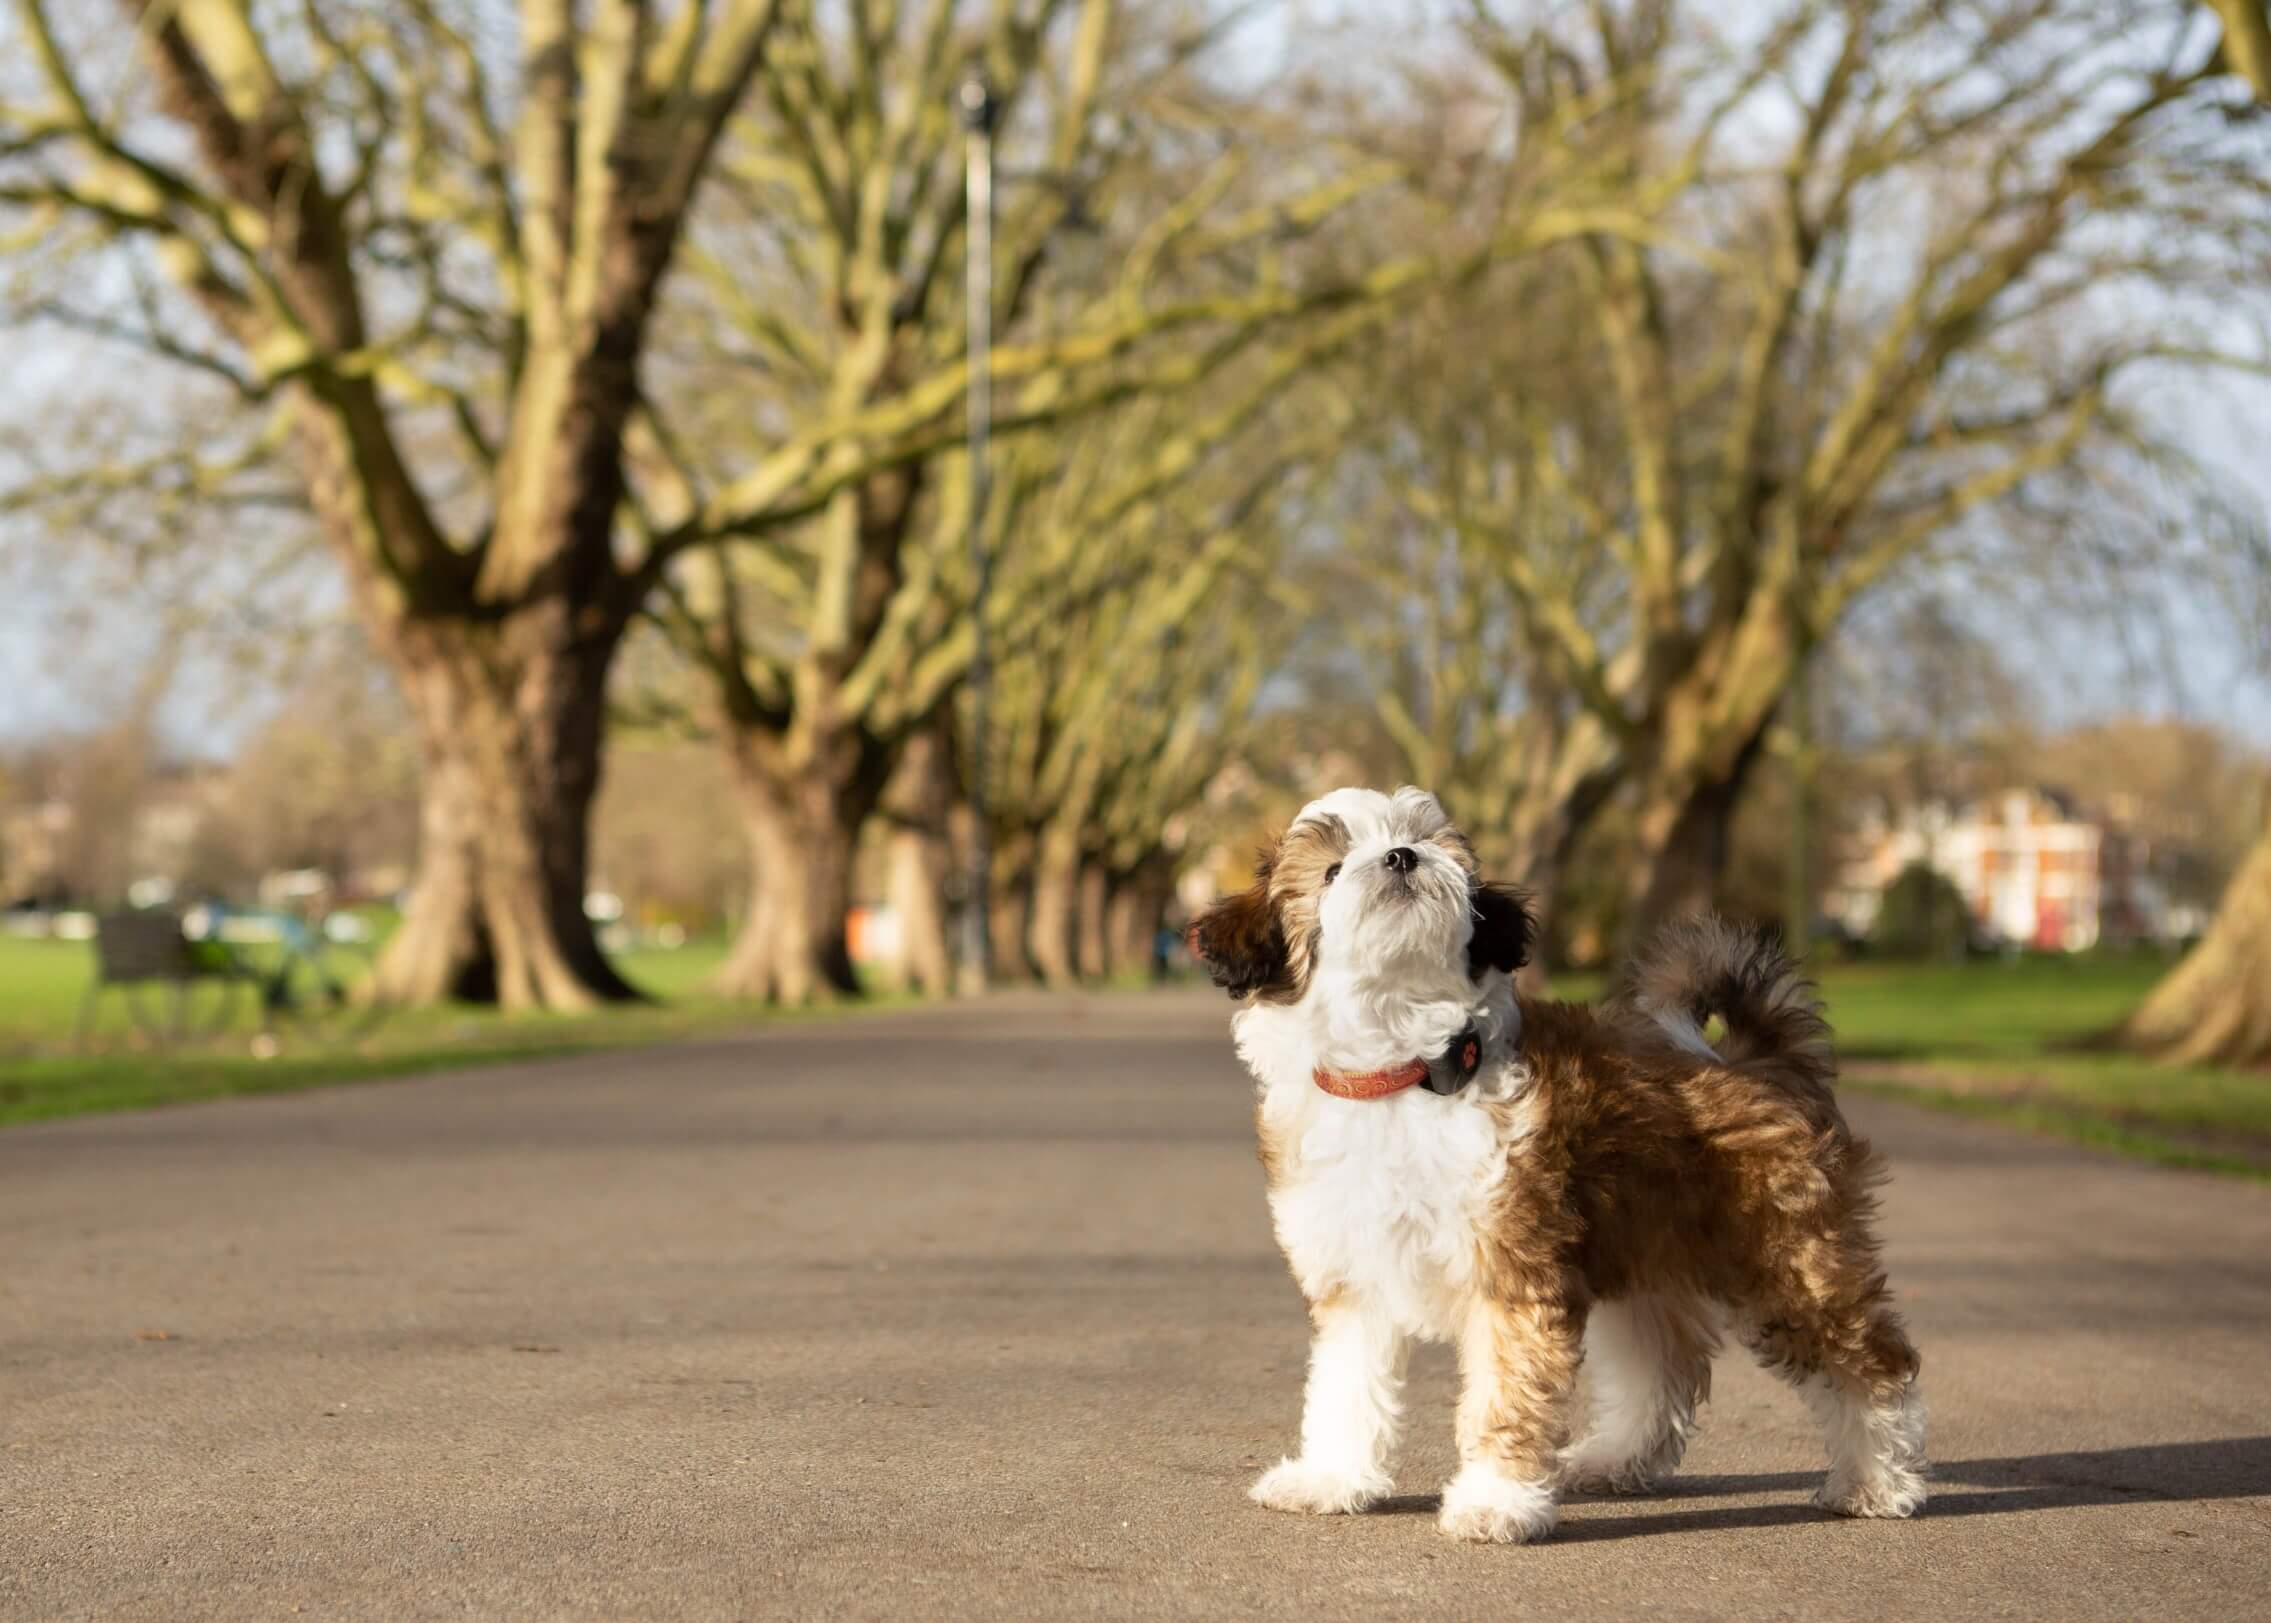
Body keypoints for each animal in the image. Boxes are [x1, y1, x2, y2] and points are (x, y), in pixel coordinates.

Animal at [1199, 785, 1925, 1552]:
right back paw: (1615, 1460)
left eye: (1420, 839)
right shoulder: (1354, 1277)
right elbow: (1344, 1386)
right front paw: (1331, 1477)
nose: (1400, 857)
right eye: (1333, 870)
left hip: (1786, 1256)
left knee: (1871, 1363)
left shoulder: (1512, 1272)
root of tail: (1759, 1061)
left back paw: (1879, 1481)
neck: (1404, 1069)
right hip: (1645, 1249)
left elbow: (1505, 1393)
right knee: (1660, 1366)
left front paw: (1495, 1501)